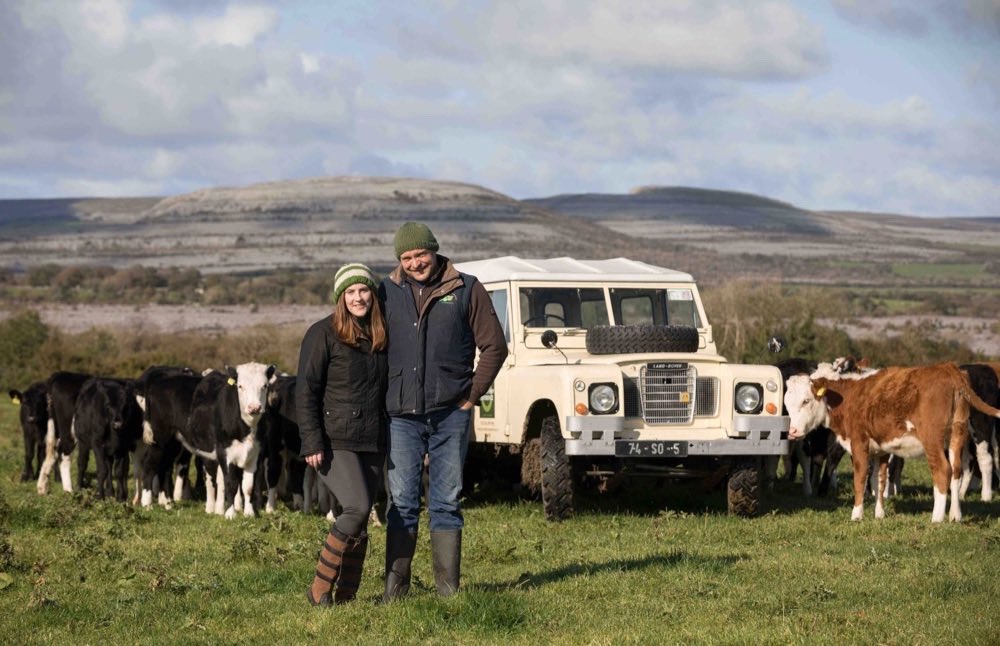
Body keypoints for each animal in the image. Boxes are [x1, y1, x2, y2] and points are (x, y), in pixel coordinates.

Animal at [182, 364, 276, 520]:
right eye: (240, 386)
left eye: (265, 385)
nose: (254, 407)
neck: (246, 429)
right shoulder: (224, 453)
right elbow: (231, 483)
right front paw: (230, 513)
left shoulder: (255, 454)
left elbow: (247, 486)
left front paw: (249, 512)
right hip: (207, 453)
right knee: (211, 479)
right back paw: (211, 507)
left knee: (222, 481)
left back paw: (223, 508)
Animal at [784, 362, 1000, 524]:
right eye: (787, 404)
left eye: (806, 401)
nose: (792, 432)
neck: (850, 396)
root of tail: (948, 368)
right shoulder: (881, 450)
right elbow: (879, 480)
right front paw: (879, 514)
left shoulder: (859, 443)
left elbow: (860, 478)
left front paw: (857, 514)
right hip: (957, 435)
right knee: (956, 472)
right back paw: (956, 515)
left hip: (934, 440)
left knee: (943, 471)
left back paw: (937, 517)